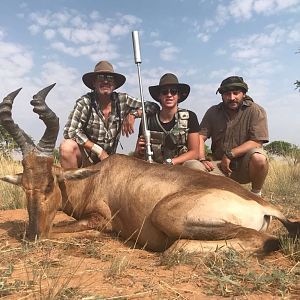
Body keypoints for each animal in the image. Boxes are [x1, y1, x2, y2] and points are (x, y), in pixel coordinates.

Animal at [0, 85, 298, 253]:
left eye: (50, 183)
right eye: (25, 186)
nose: (32, 237)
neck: (99, 176)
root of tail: (264, 206)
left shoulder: (100, 219)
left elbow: (59, 227)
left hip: (169, 215)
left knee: (264, 240)